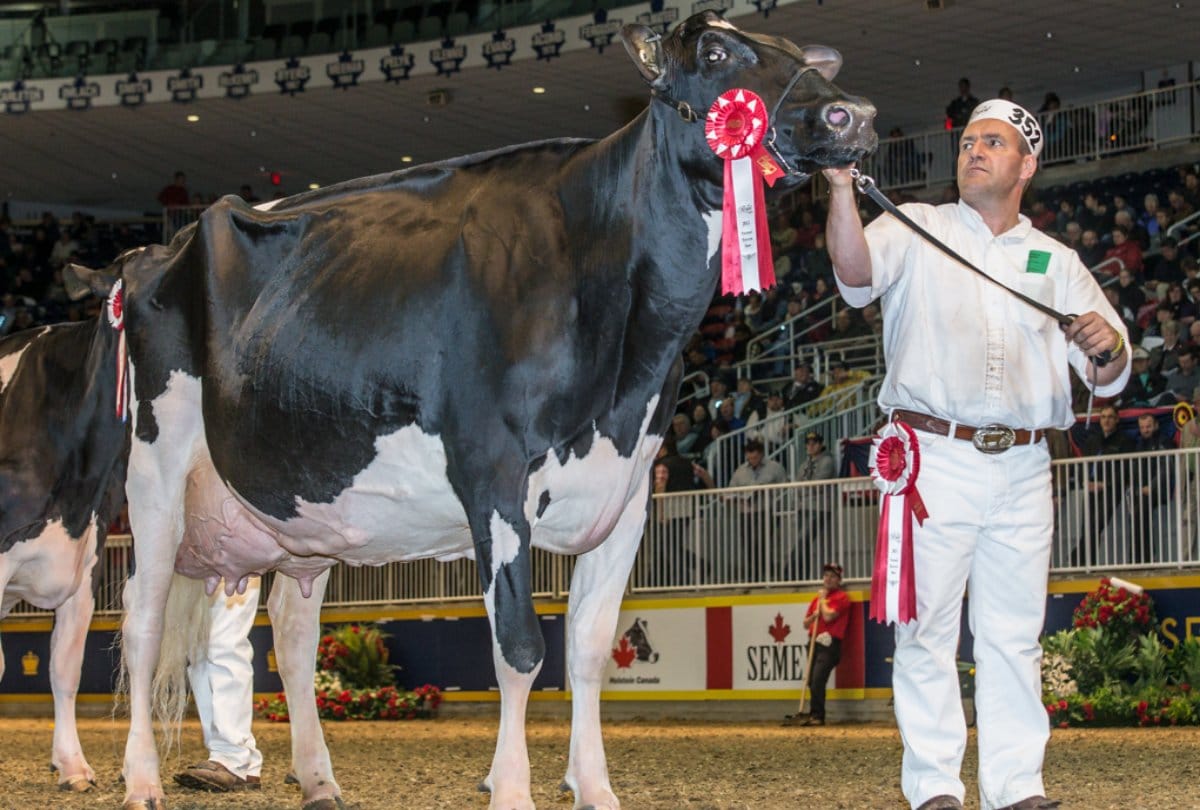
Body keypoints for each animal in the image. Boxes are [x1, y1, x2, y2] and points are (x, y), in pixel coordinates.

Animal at [70, 12, 875, 810]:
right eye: (713, 51)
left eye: (800, 53)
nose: (854, 114)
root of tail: (153, 249)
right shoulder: (493, 473)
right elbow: (520, 649)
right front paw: (512, 788)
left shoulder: (629, 490)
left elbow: (589, 650)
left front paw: (594, 788)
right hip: (156, 469)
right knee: (140, 621)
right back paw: (141, 779)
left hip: (310, 508)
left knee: (293, 635)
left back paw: (320, 779)